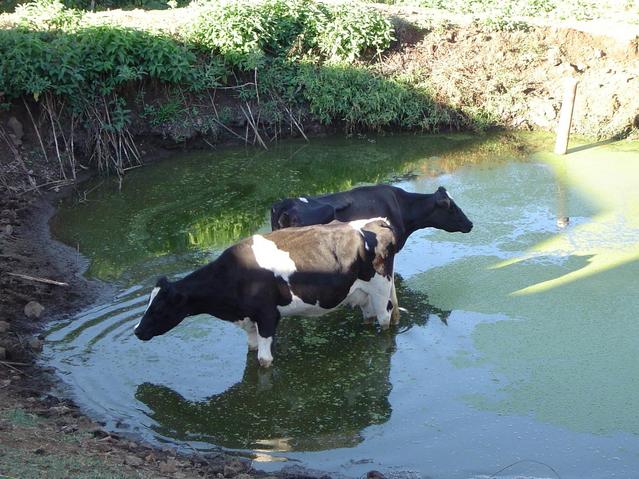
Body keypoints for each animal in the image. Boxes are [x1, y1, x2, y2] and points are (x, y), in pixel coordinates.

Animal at [133, 219, 398, 370]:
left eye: (159, 307)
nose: (137, 331)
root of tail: (375, 223)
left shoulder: (268, 316)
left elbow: (264, 361)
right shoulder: (249, 320)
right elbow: (251, 352)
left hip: (380, 286)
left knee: (385, 318)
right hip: (360, 293)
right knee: (368, 316)